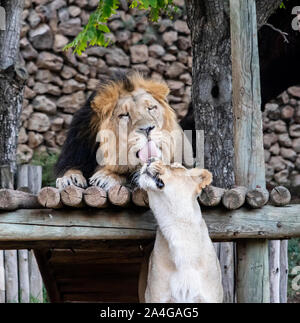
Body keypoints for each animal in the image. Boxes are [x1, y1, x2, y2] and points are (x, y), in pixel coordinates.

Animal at [55, 72, 193, 191]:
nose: (147, 129)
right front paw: (69, 178)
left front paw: (106, 176)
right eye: (124, 115)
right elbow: (70, 167)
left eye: (151, 108)